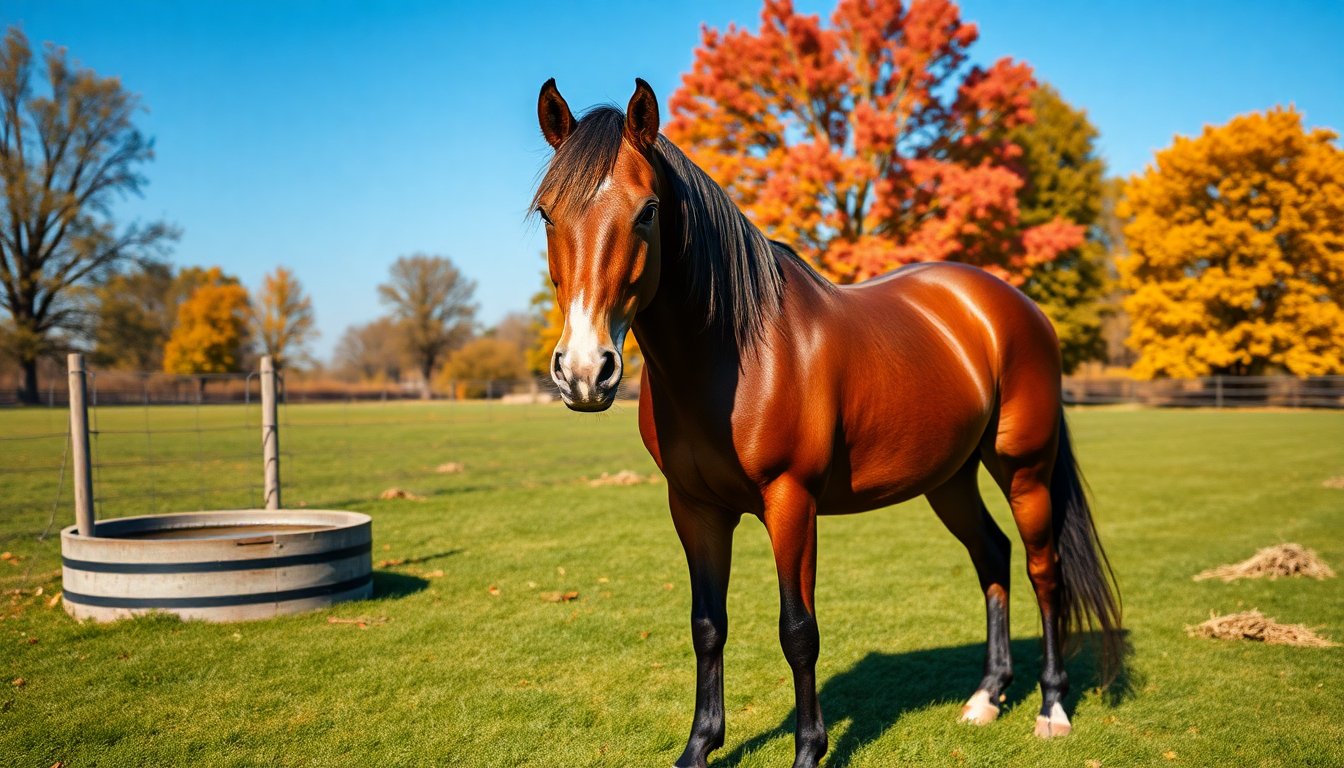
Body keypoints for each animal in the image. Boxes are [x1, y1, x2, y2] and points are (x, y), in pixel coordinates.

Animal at [531, 77, 1121, 768]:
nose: (584, 371)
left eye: (648, 210)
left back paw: (1051, 708)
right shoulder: (695, 508)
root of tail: (1017, 305)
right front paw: (700, 746)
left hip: (1024, 469)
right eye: (547, 214)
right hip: (949, 479)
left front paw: (809, 749)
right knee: (992, 556)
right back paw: (985, 697)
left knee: (1041, 569)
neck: (737, 354)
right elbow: (707, 626)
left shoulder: (792, 501)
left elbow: (798, 630)